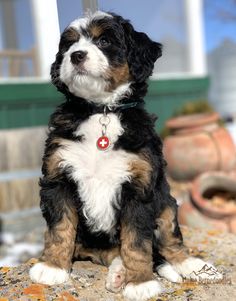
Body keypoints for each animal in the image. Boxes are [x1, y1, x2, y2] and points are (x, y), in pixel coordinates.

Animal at [29, 11, 221, 300]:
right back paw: (118, 272)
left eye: (105, 41)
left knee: (170, 241)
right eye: (69, 45)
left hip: (166, 202)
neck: (102, 111)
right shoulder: (58, 177)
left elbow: (137, 241)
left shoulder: (139, 188)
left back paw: (195, 266)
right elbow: (60, 228)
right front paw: (52, 267)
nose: (76, 55)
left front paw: (140, 282)